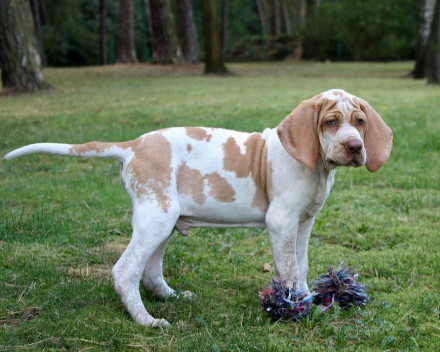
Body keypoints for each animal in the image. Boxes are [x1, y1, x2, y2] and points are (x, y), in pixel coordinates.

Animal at [3, 88, 394, 328]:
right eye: (331, 122)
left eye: (359, 122)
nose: (355, 147)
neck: (316, 166)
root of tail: (133, 146)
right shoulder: (281, 222)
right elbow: (287, 269)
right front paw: (293, 308)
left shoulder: (304, 223)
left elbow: (301, 265)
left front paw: (308, 299)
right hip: (155, 220)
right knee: (125, 272)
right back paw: (146, 321)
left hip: (164, 220)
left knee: (150, 271)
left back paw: (172, 298)